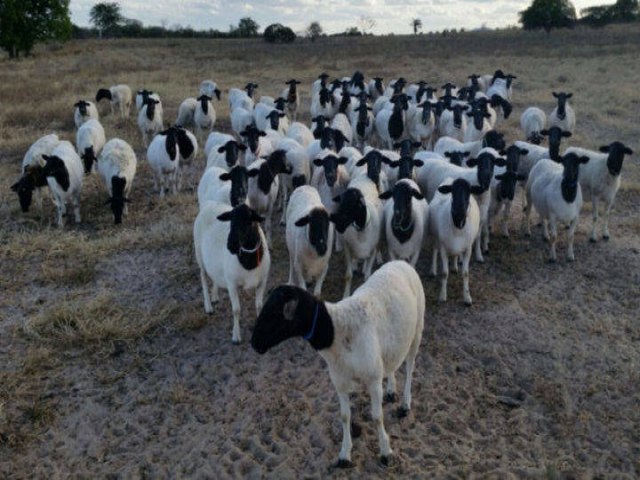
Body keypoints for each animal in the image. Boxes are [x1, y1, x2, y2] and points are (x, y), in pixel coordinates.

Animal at [191, 201, 268, 344]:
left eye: (249, 221)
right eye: (231, 221)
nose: (230, 246)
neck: (248, 262)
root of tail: (210, 204)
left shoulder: (262, 282)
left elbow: (259, 306)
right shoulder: (232, 284)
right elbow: (236, 310)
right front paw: (236, 336)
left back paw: (215, 296)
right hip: (199, 255)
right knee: (203, 277)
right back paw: (208, 306)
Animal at [250, 258, 424, 468]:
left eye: (274, 313)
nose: (254, 343)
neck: (336, 331)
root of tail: (400, 262)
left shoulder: (373, 380)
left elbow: (377, 417)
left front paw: (385, 452)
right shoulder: (340, 383)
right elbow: (344, 416)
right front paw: (344, 455)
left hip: (417, 330)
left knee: (410, 367)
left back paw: (405, 404)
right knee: (391, 363)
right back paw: (391, 390)